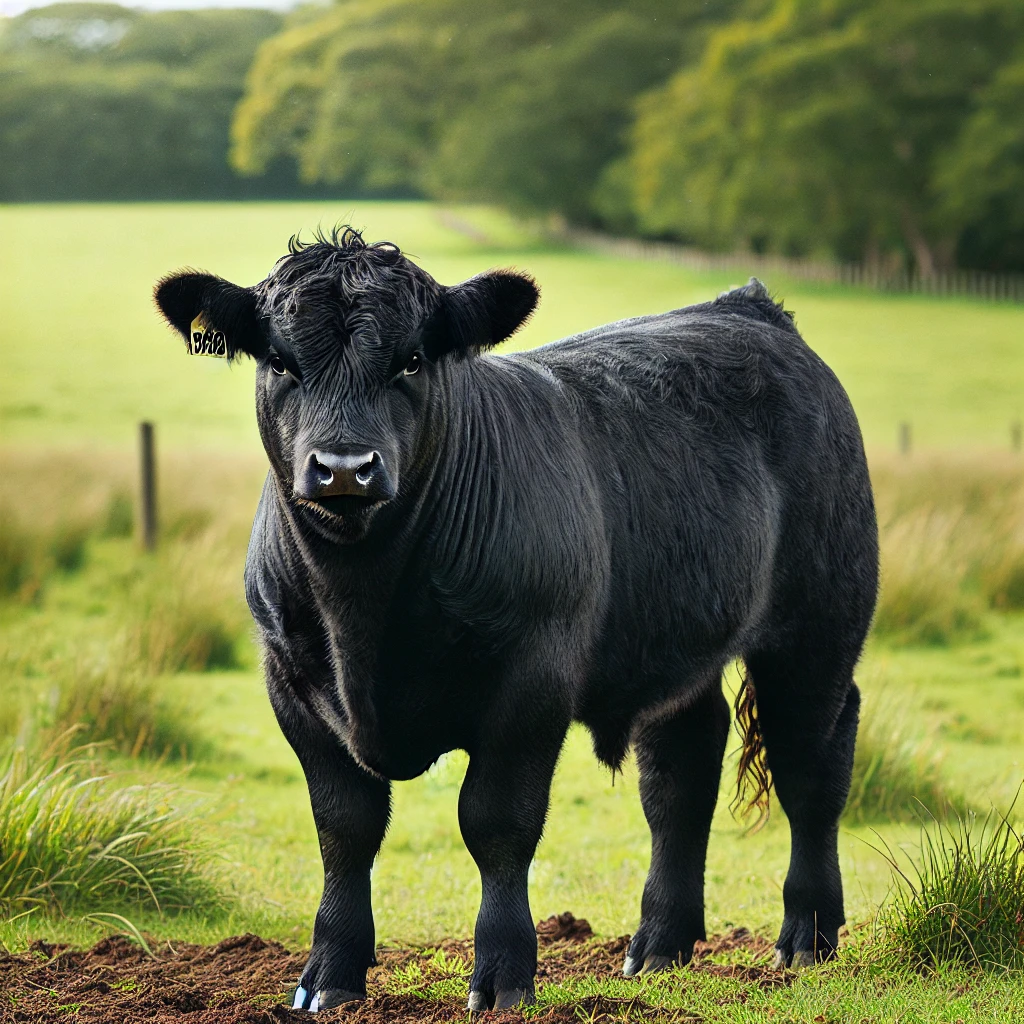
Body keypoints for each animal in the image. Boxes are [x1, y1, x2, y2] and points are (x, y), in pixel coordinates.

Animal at [155, 227, 878, 1013]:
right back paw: (660, 945)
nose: (344, 467)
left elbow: (496, 822)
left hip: (818, 629)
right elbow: (344, 827)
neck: (363, 606)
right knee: (680, 774)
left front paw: (503, 974)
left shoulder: (530, 681)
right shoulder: (291, 682)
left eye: (413, 359)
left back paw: (807, 936)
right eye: (280, 362)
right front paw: (329, 976)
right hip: (677, 643)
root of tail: (748, 307)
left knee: (811, 764)